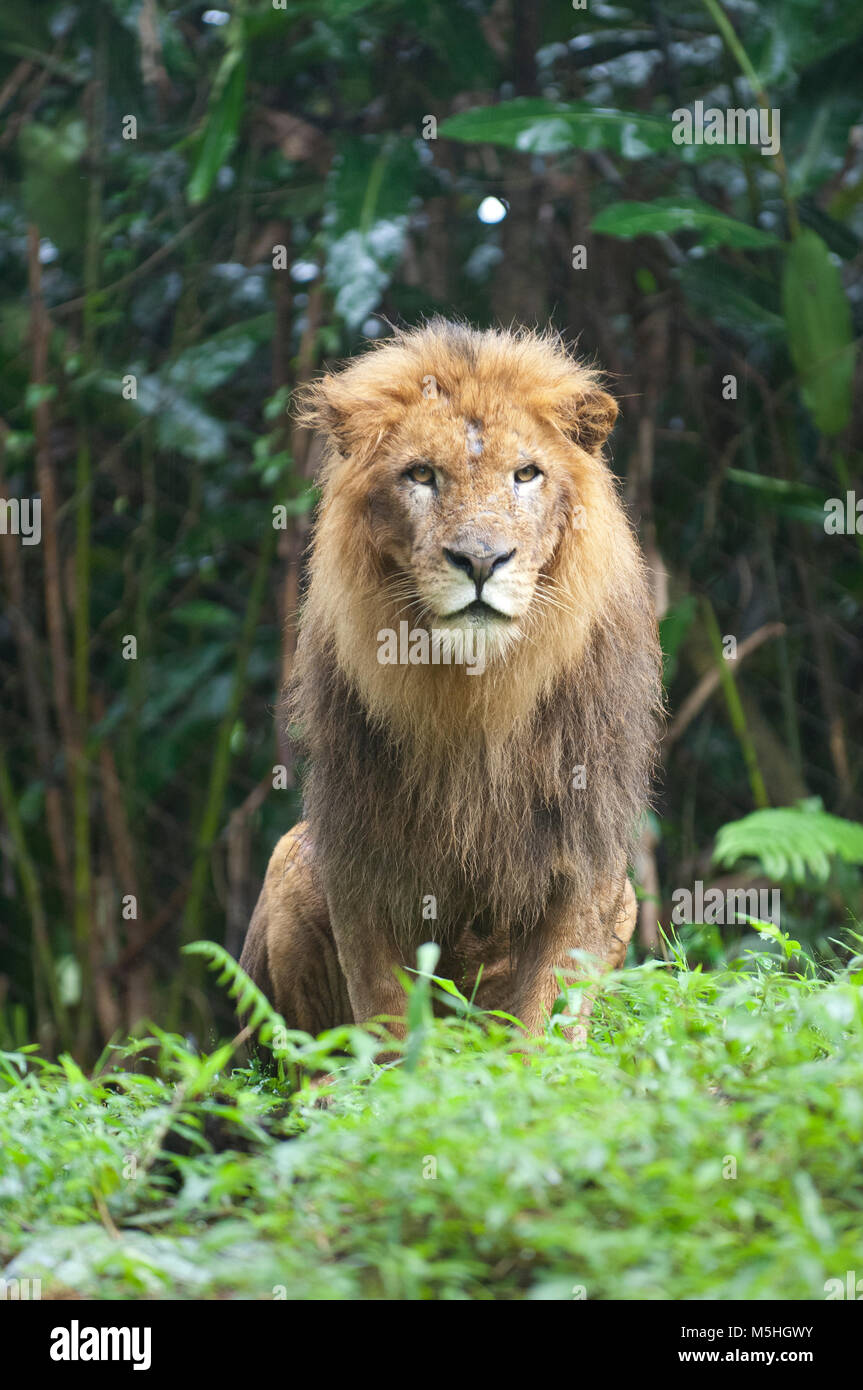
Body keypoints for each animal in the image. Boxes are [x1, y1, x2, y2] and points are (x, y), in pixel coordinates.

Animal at [239, 319, 664, 1045]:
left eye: (526, 473)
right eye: (420, 475)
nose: (481, 560)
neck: (474, 691)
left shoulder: (584, 850)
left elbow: (543, 1012)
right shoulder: (360, 852)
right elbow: (382, 1013)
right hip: (288, 859)